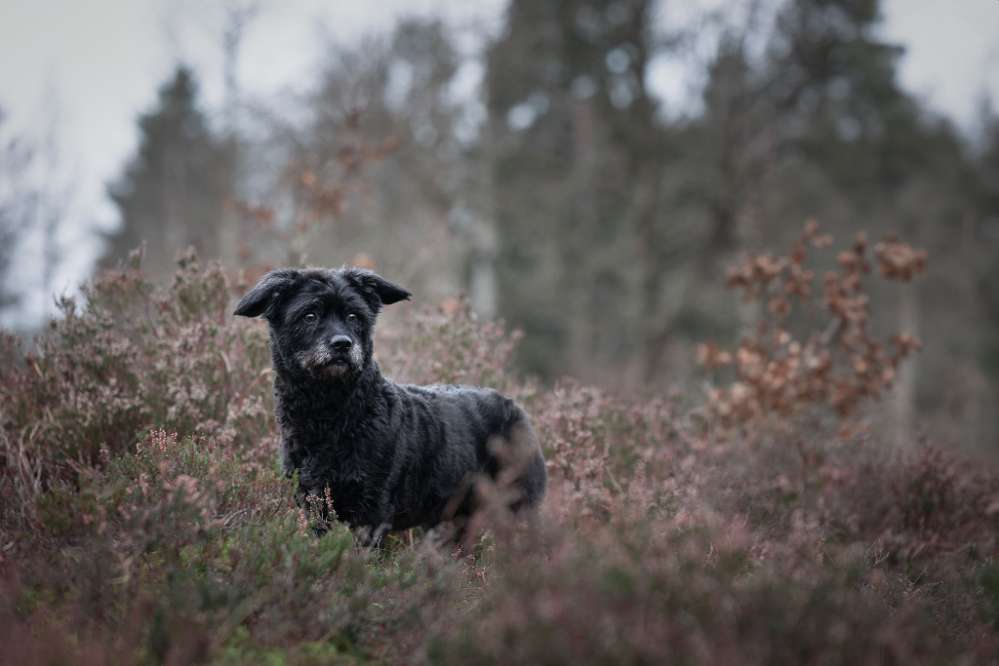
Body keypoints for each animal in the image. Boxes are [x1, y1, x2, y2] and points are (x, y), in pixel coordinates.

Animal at [234, 266, 546, 542]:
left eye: (354, 316)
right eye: (309, 315)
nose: (342, 344)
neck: (332, 415)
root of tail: (515, 407)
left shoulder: (370, 509)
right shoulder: (313, 504)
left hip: (518, 508)